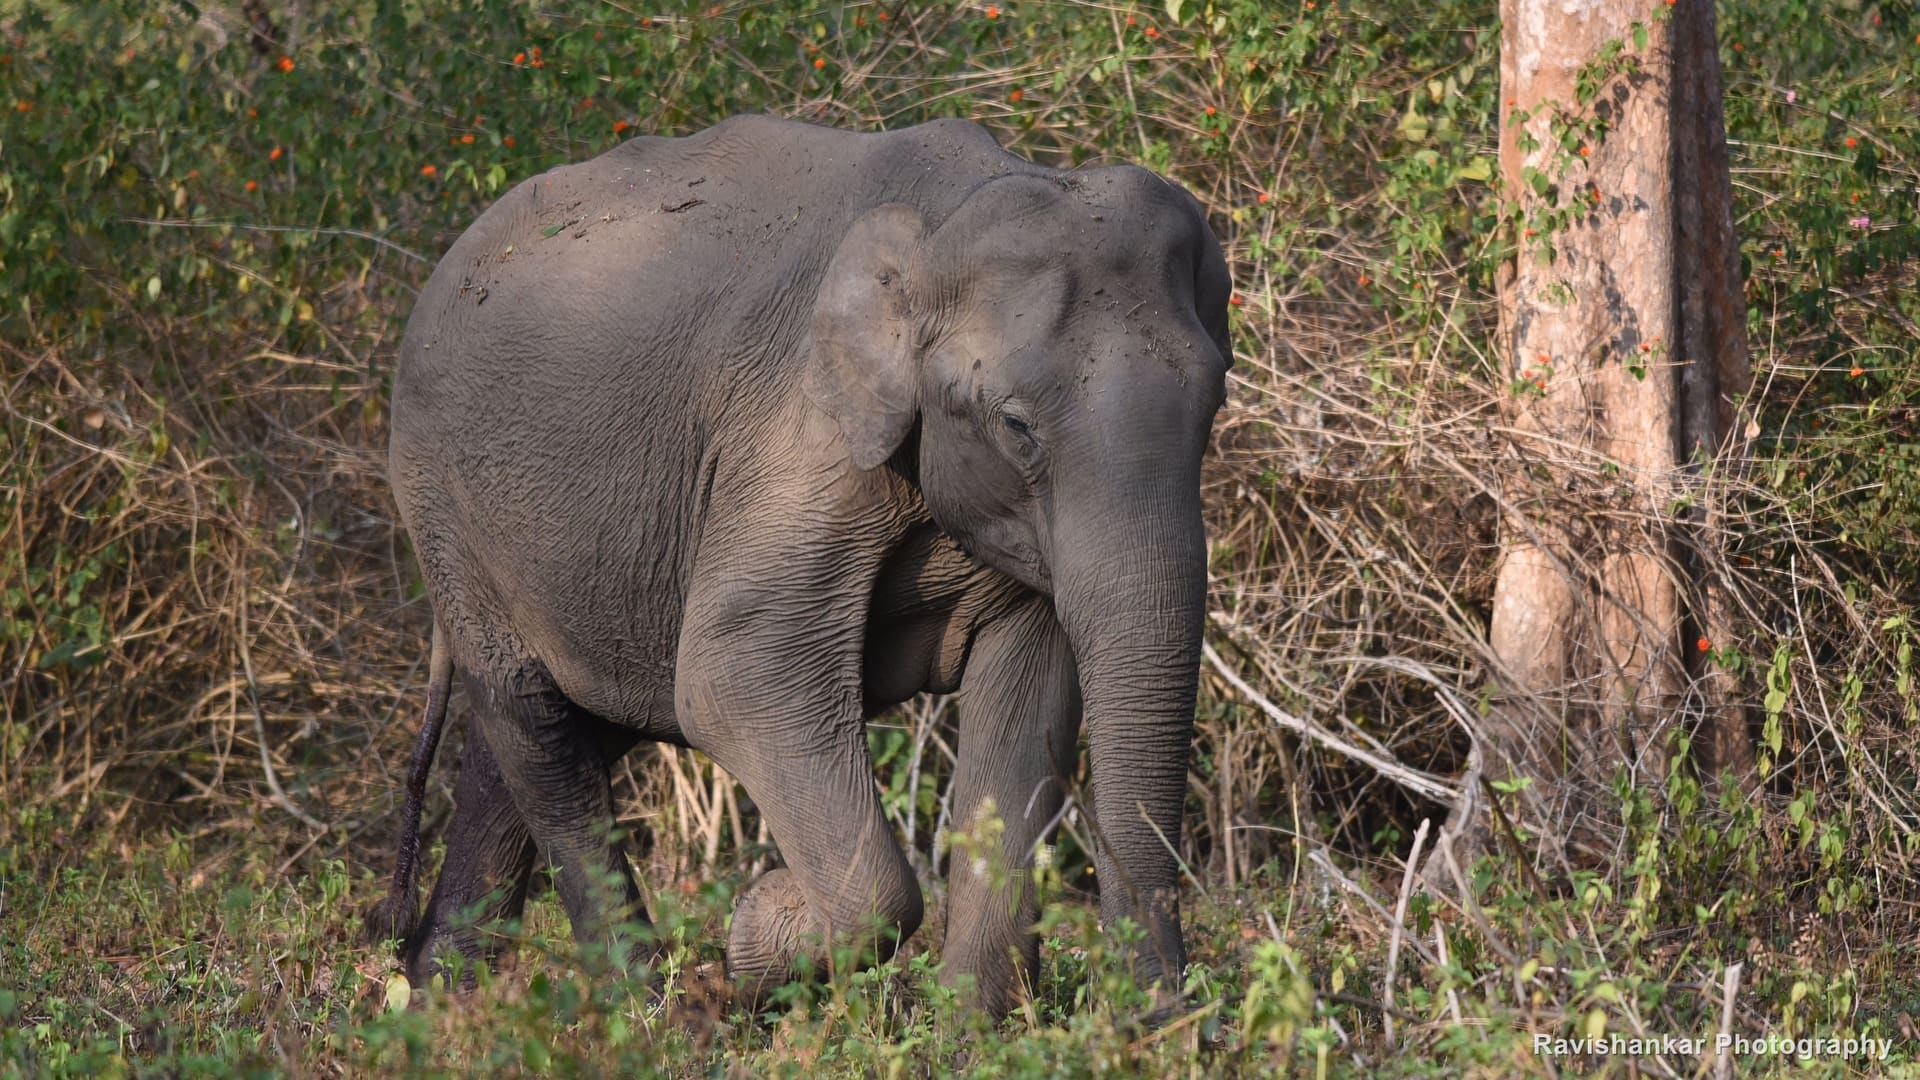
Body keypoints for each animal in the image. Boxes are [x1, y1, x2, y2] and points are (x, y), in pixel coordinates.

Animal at [367, 113, 1232, 1019]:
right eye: (1016, 424)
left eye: (1216, 402)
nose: (1162, 1015)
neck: (947, 218)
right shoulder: (794, 432)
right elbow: (736, 675)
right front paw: (765, 922)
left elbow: (1030, 701)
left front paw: (968, 1033)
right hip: (444, 504)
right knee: (537, 731)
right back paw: (641, 1015)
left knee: (526, 750)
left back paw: (432, 1002)